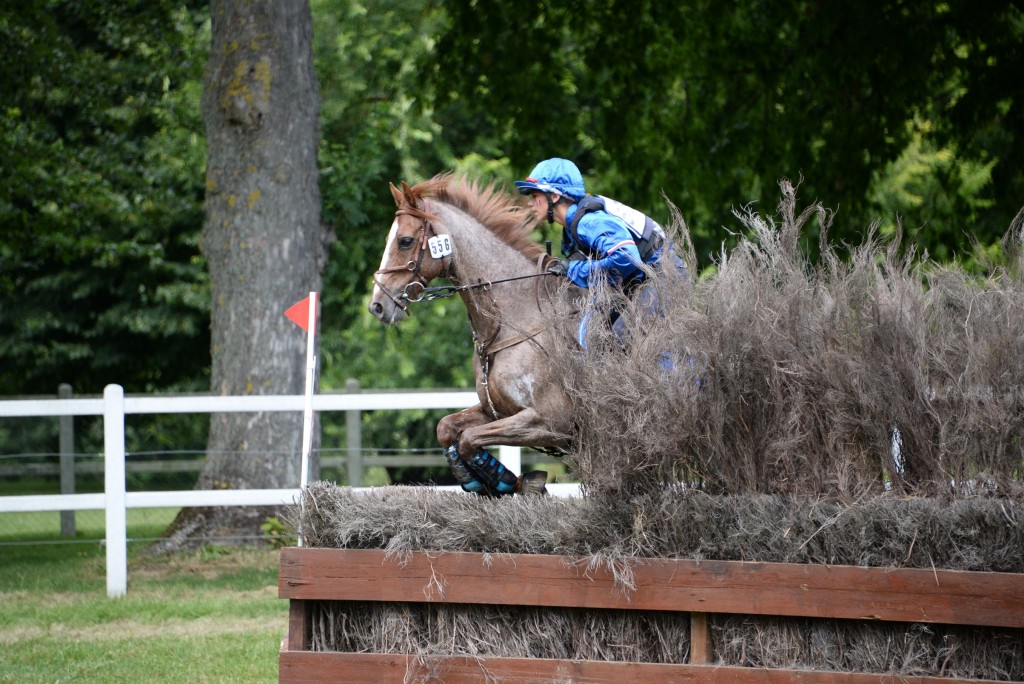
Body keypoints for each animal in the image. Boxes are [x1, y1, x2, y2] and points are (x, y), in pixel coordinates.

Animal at [366, 174, 577, 493]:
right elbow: (447, 428)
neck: (510, 323)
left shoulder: (549, 422)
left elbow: (468, 440)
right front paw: (492, 479)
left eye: (405, 241)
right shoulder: (495, 412)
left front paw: (506, 481)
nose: (377, 306)